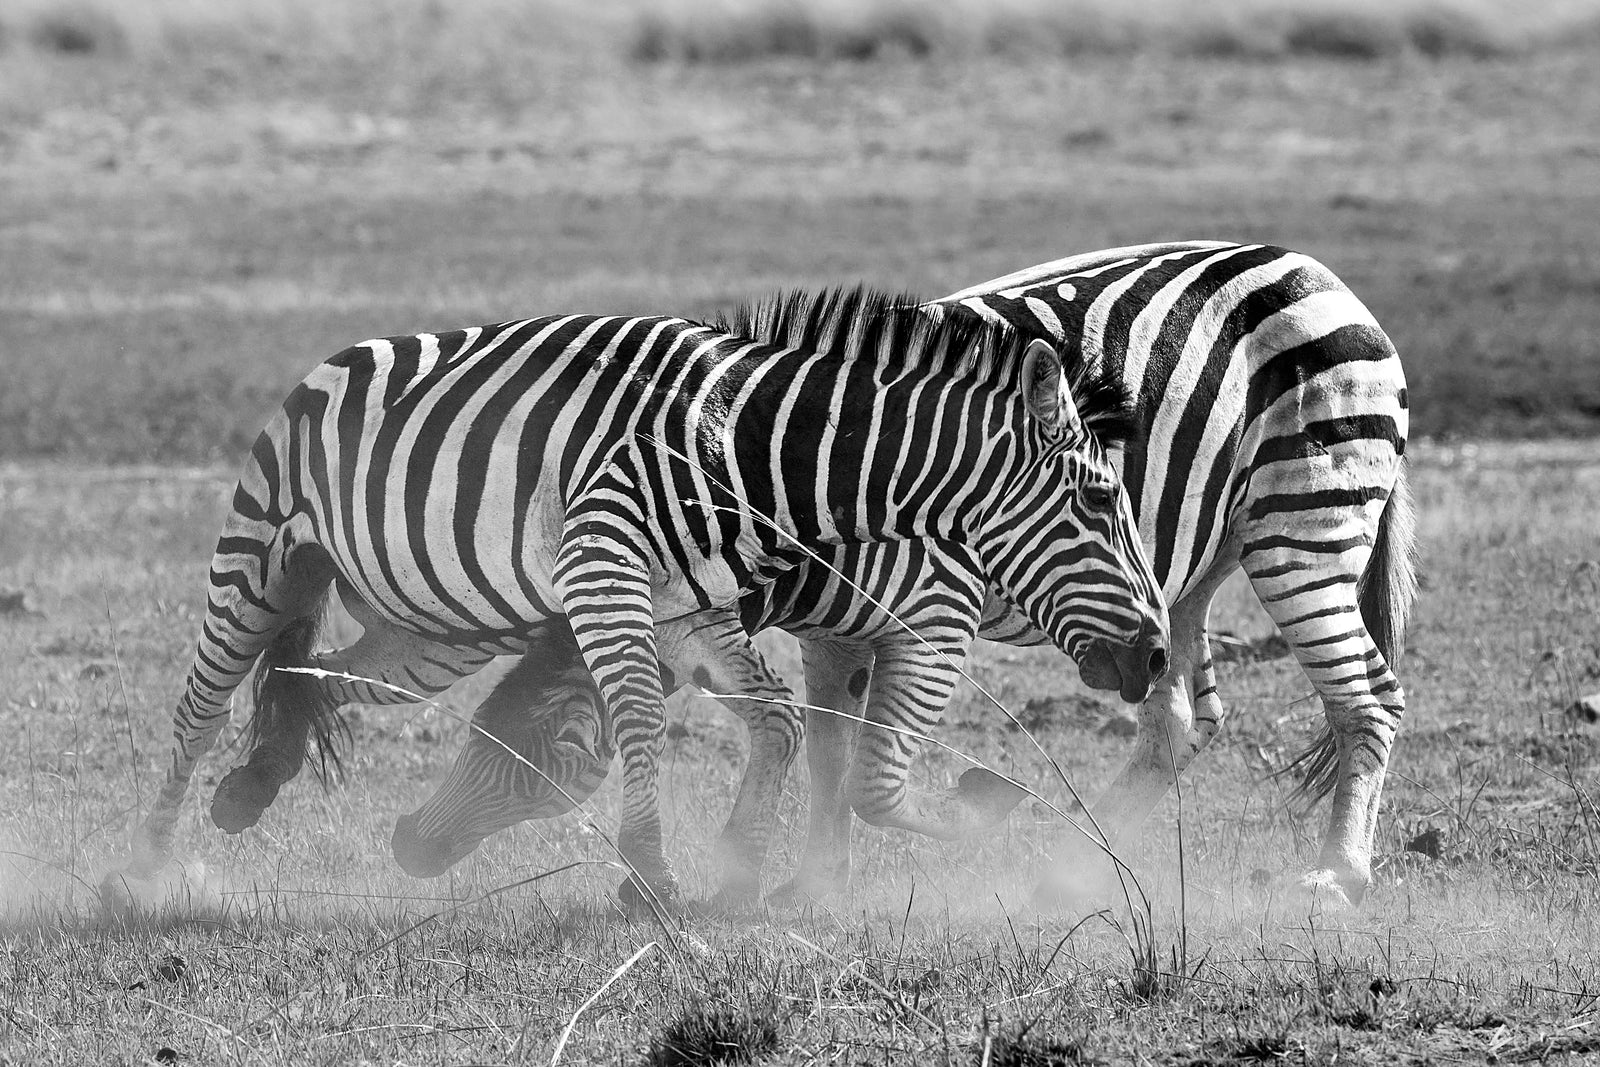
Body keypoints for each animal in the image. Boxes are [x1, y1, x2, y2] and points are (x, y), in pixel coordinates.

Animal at [102, 286, 1169, 911]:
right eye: (1100, 499)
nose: (1156, 656)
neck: (748, 454)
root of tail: (340, 354)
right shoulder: (605, 568)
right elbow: (650, 719)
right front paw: (652, 871)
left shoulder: (687, 608)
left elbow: (780, 720)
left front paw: (735, 863)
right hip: (261, 549)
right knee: (201, 704)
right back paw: (142, 867)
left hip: (430, 628)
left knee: (308, 668)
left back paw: (251, 783)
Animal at [392, 241, 1414, 908]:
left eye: (531, 748)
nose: (404, 844)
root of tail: (1320, 274)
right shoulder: (827, 632)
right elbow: (831, 754)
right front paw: (812, 882)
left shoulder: (933, 612)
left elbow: (873, 779)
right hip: (1184, 580)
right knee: (1178, 722)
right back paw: (1071, 864)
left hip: (1302, 529)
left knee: (1369, 696)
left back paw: (1338, 873)